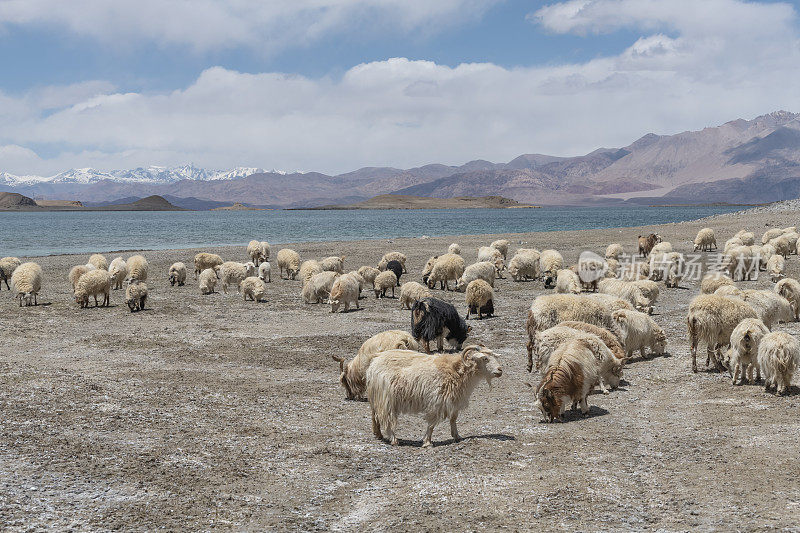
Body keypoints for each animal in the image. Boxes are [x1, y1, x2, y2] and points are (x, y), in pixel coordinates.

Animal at [368, 348, 504, 446]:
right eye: (485, 358)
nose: (500, 370)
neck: (456, 371)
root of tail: (374, 362)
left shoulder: (454, 401)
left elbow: (453, 419)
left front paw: (457, 436)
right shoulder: (437, 401)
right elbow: (431, 424)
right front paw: (427, 442)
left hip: (377, 397)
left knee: (375, 415)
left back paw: (378, 434)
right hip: (386, 398)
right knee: (387, 418)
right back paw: (394, 439)